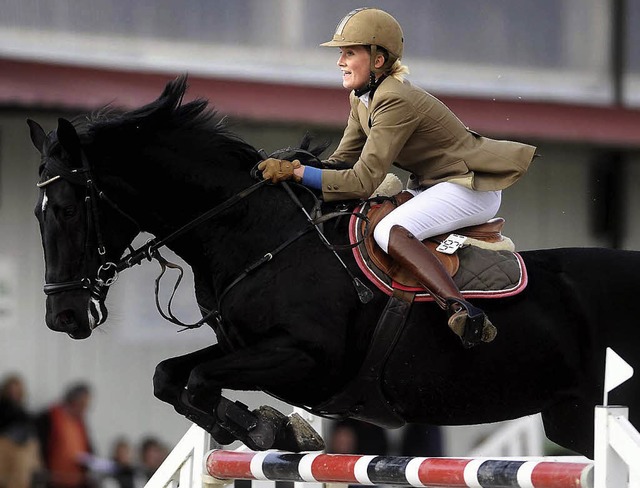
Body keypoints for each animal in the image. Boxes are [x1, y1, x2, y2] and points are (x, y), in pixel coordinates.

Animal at [31, 76, 640, 458]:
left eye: (66, 208)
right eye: (37, 213)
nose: (64, 317)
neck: (254, 234)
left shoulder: (306, 357)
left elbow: (199, 382)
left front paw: (273, 428)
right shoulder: (242, 345)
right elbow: (169, 377)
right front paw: (269, 428)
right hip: (570, 416)